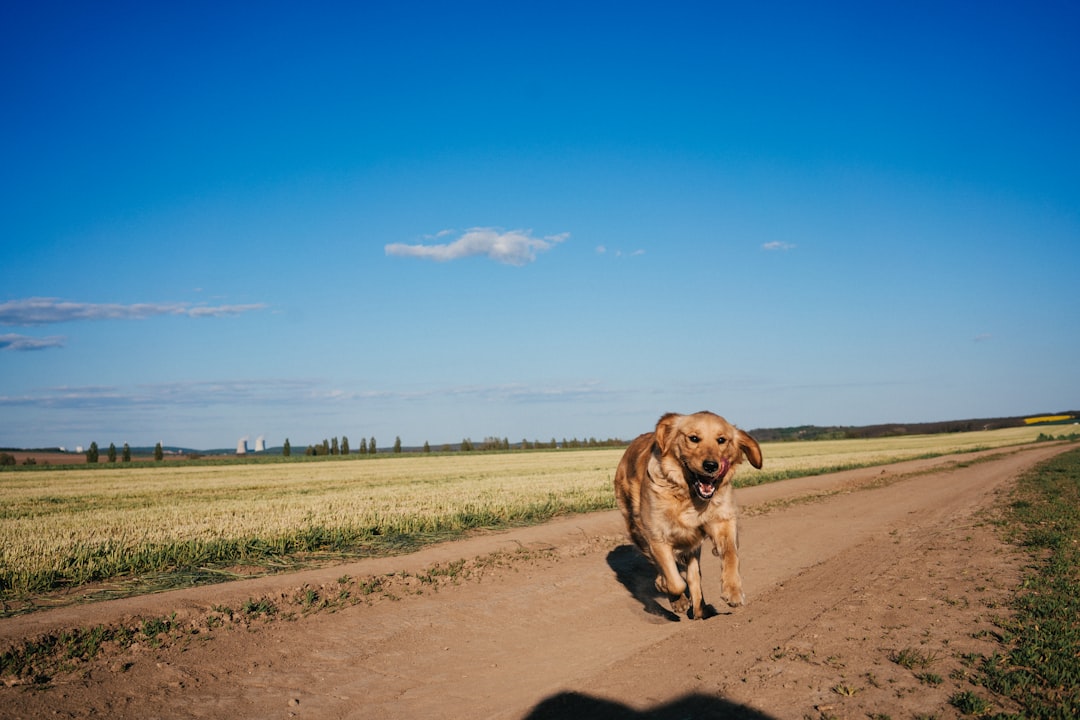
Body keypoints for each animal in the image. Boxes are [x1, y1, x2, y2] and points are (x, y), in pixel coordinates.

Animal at [613, 410, 764, 621]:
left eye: (721, 440)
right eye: (693, 438)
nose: (711, 465)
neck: (689, 497)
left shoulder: (723, 521)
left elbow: (730, 555)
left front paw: (733, 591)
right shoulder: (657, 537)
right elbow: (675, 581)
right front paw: (671, 592)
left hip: (692, 546)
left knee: (694, 576)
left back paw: (701, 609)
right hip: (636, 528)